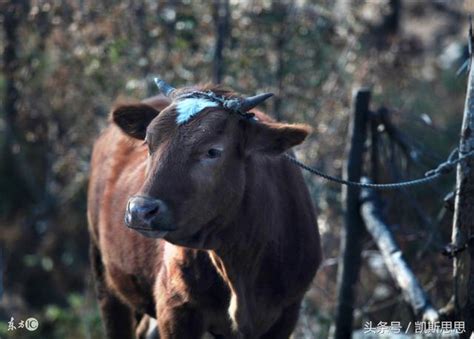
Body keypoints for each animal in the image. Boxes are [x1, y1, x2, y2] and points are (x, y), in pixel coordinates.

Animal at [86, 81, 320, 338]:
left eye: (213, 151)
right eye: (148, 143)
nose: (140, 210)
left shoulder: (287, 313)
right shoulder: (176, 310)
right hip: (105, 279)